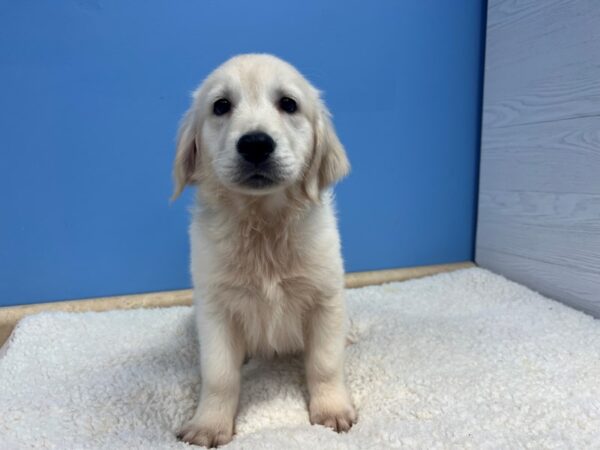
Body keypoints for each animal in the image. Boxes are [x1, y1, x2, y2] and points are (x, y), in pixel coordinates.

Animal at [171, 52, 354, 446]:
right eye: (221, 106)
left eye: (288, 104)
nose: (255, 143)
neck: (263, 225)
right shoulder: (215, 308)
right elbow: (219, 375)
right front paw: (209, 424)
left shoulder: (325, 298)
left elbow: (324, 363)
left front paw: (331, 409)